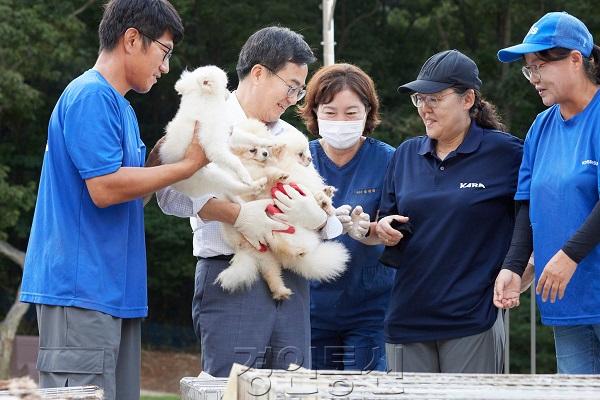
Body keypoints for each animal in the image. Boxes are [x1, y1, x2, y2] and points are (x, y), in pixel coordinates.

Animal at [158, 66, 266, 199]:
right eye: (225, 86)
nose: (228, 92)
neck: (204, 101)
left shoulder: (228, 133)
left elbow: (249, 137)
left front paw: (269, 141)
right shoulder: (215, 144)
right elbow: (236, 161)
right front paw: (244, 174)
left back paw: (258, 184)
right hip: (208, 179)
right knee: (235, 188)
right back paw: (253, 184)